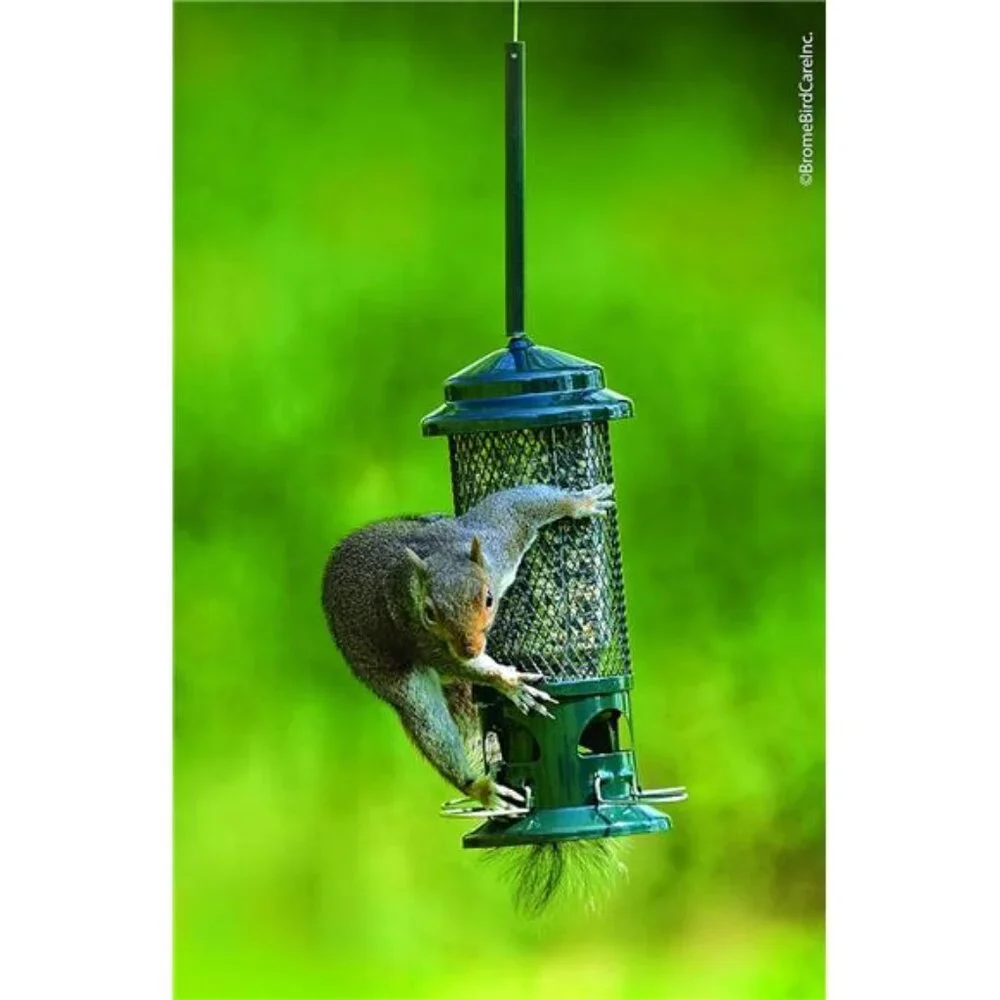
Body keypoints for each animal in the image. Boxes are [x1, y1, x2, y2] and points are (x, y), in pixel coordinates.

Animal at [320, 482, 615, 811]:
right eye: (429, 613)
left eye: (488, 599)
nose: (470, 649)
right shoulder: (414, 629)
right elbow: (458, 665)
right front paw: (509, 682)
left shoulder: (500, 539)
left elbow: (518, 505)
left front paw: (580, 502)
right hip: (395, 679)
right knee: (427, 721)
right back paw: (479, 788)